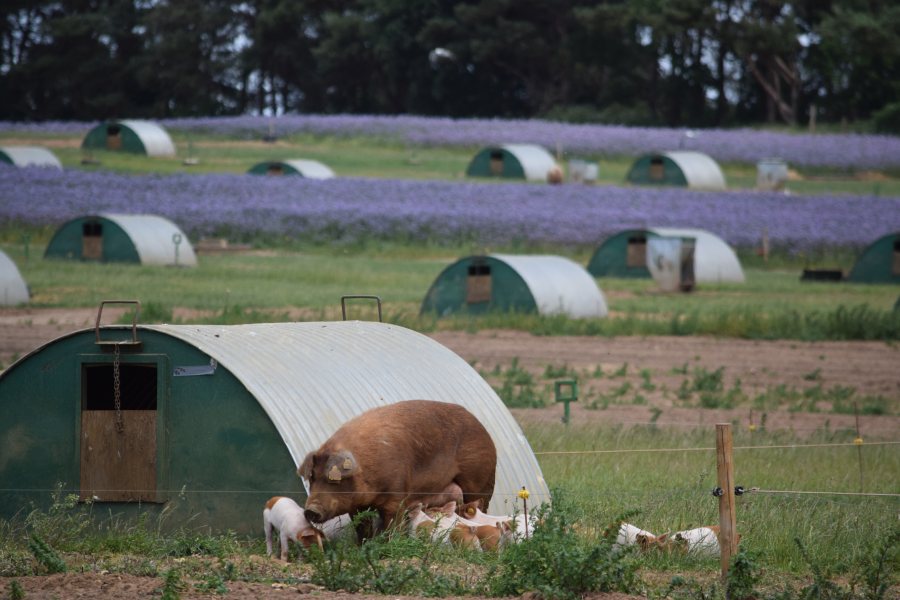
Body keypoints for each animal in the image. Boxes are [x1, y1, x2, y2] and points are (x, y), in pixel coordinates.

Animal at [299, 400, 497, 537]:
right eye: (312, 478)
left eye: (335, 480)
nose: (310, 510)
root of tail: (484, 430)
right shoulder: (355, 505)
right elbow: (362, 527)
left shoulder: (397, 491)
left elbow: (392, 521)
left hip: (480, 479)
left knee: (479, 507)